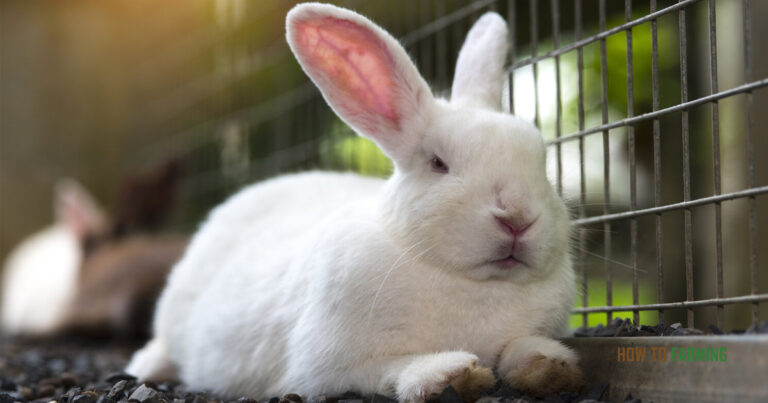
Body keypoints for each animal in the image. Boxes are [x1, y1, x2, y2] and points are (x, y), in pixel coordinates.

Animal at [126, 3, 582, 401]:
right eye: (438, 163)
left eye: (541, 161)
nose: (518, 218)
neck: (472, 285)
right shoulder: (328, 368)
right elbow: (389, 369)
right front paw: (451, 374)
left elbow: (521, 348)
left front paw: (549, 366)